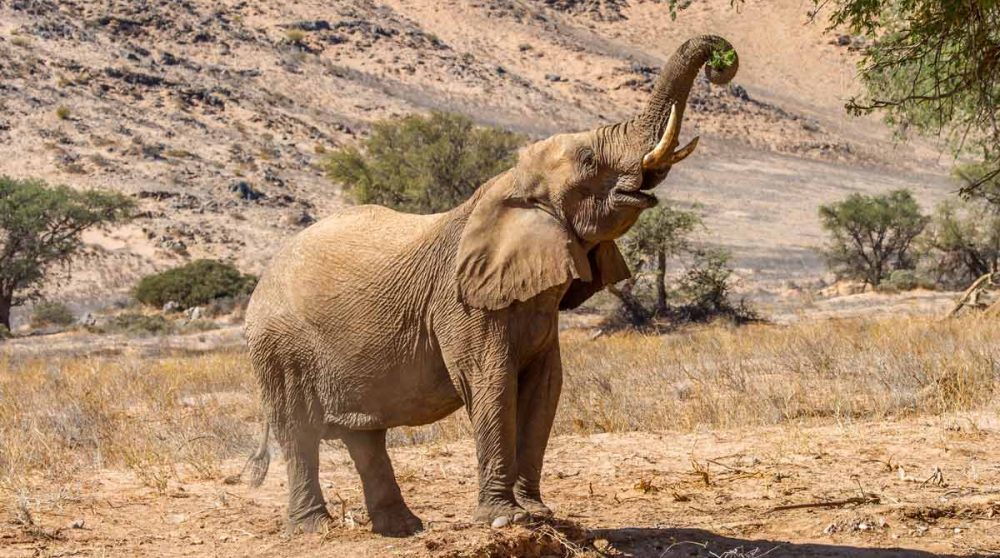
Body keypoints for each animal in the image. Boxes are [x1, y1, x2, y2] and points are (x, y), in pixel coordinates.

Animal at [242, 34, 739, 536]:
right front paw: (504, 520)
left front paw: (538, 513)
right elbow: (491, 382)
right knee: (298, 431)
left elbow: (545, 387)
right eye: (589, 161)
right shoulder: (462, 303)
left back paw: (405, 529)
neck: (510, 184)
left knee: (363, 434)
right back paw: (315, 529)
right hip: (278, 347)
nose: (721, 64)